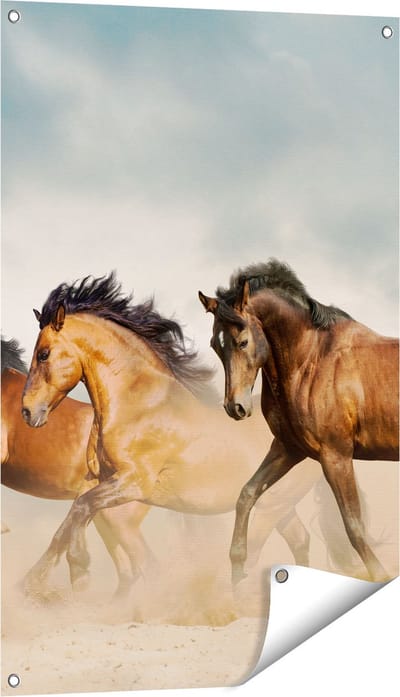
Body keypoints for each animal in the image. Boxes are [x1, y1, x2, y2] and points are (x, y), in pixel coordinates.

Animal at [20, 274, 322, 592]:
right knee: (299, 540)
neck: (139, 405)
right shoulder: (96, 478)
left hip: (269, 509)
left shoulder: (134, 482)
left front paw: (79, 567)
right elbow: (67, 524)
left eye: (43, 354)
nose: (27, 411)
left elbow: (81, 508)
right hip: (280, 508)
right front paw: (33, 582)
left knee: (253, 555)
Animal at [199, 259, 399, 583]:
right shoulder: (288, 449)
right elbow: (247, 495)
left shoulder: (336, 456)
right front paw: (238, 573)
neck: (312, 361)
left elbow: (354, 527)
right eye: (216, 345)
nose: (235, 407)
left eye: (242, 341)